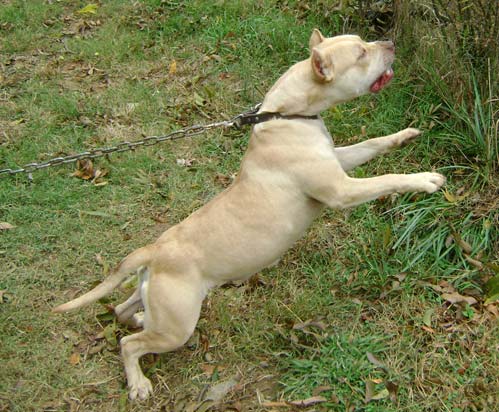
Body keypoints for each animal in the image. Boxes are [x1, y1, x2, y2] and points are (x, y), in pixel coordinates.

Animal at [53, 29, 446, 402]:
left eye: (364, 42)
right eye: (362, 53)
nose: (390, 42)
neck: (288, 113)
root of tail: (154, 250)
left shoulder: (341, 162)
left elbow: (373, 144)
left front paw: (404, 135)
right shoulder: (341, 190)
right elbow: (387, 179)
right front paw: (424, 180)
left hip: (156, 297)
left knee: (122, 310)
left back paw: (136, 318)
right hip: (178, 326)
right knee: (129, 345)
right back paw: (138, 383)